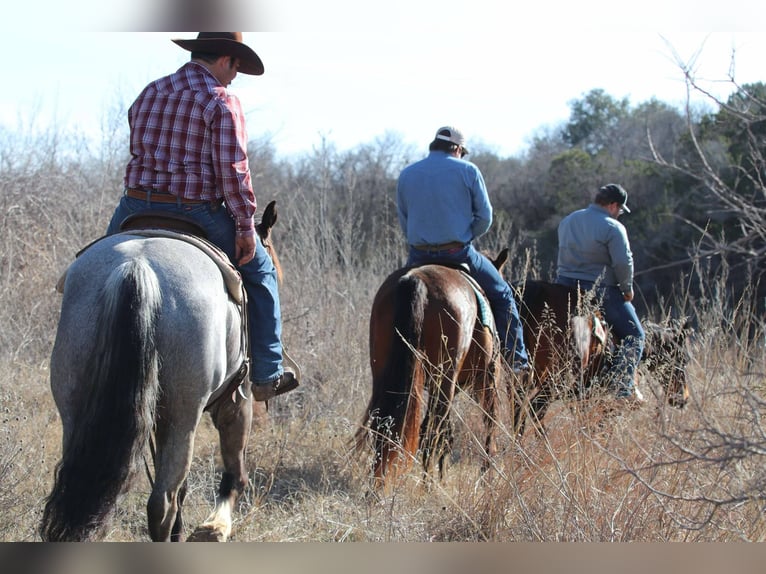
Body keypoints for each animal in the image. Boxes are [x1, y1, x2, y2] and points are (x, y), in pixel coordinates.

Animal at [40, 200, 282, 542]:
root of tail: (136, 267)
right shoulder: (237, 397)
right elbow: (233, 469)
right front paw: (215, 527)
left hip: (75, 408)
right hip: (184, 415)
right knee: (161, 503)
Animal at [355, 263, 503, 491]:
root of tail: (416, 281)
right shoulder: (485, 382)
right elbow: (487, 425)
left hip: (382, 372)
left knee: (384, 425)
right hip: (447, 381)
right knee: (434, 431)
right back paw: (429, 483)